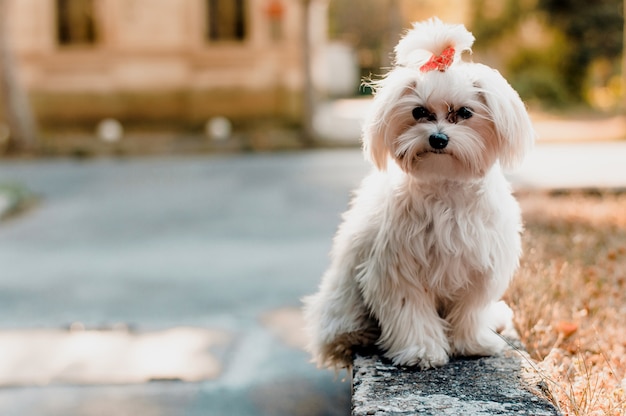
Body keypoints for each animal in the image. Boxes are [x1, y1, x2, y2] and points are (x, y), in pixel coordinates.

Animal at [302, 18, 532, 370]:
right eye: (419, 112)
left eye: (464, 113)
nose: (438, 139)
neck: (446, 185)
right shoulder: (398, 269)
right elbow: (410, 312)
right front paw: (421, 351)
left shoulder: (479, 266)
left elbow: (470, 311)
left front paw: (473, 343)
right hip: (343, 299)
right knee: (338, 331)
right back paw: (358, 336)